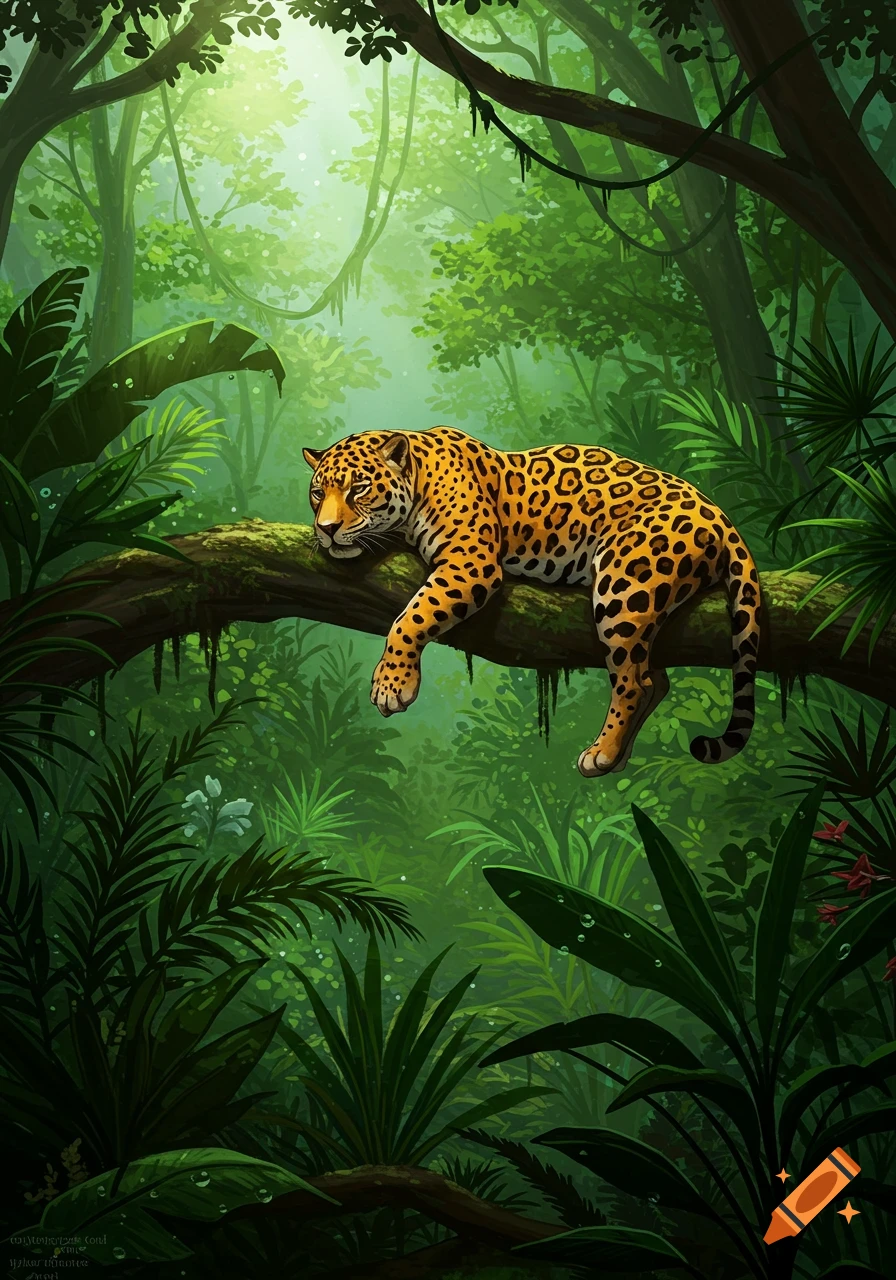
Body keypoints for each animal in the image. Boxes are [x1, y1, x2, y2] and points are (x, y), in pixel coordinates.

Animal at [303, 426, 761, 776]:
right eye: (317, 494)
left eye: (359, 489)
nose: (326, 529)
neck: (421, 479)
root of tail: (720, 514)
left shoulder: (471, 561)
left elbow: (412, 616)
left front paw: (392, 685)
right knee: (655, 678)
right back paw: (618, 756)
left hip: (626, 586)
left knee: (636, 681)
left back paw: (602, 753)